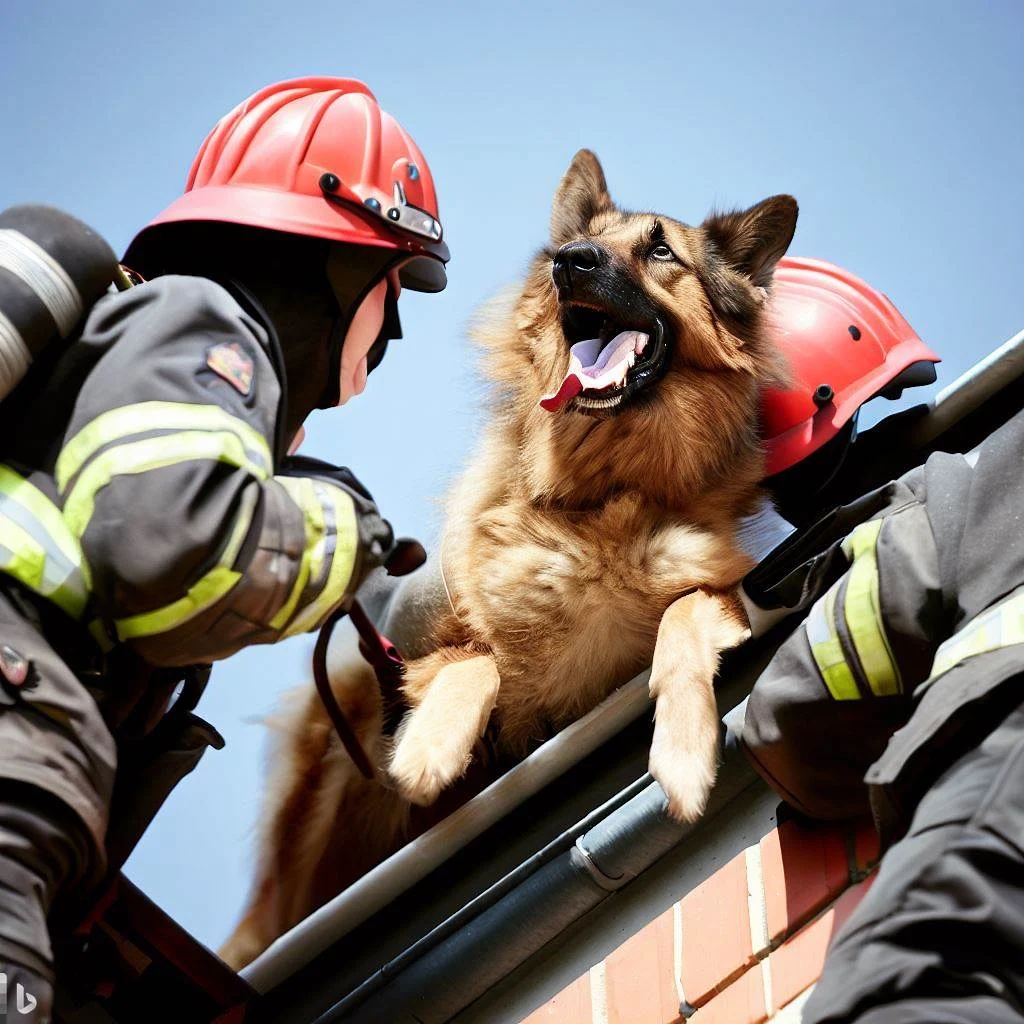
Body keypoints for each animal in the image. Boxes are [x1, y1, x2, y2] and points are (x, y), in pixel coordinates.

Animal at [222, 151, 798, 966]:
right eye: (582, 243)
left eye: (660, 251)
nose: (571, 261)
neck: (601, 496)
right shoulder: (432, 656)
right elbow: (478, 660)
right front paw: (430, 749)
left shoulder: (723, 590)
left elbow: (680, 622)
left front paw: (684, 754)